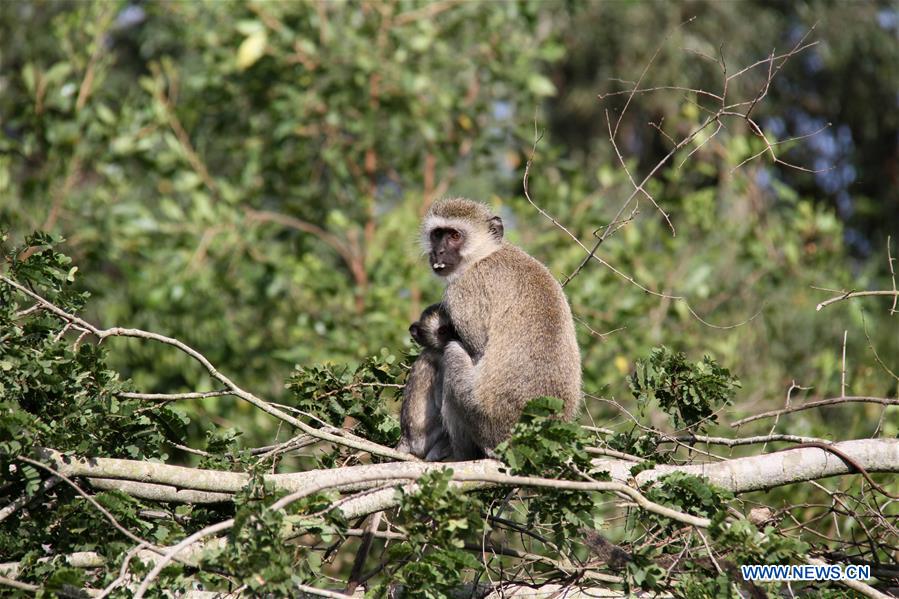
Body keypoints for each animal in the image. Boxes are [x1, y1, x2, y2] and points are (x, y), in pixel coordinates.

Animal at [400, 302, 458, 462]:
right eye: (443, 331)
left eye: (454, 328)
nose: (454, 338)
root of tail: (406, 438)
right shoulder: (443, 361)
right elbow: (441, 404)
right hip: (424, 440)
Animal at [424, 199, 584, 462]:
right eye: (437, 234)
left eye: (455, 236)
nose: (437, 252)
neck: (486, 254)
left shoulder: (463, 291)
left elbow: (477, 348)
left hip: (480, 416)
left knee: (453, 352)